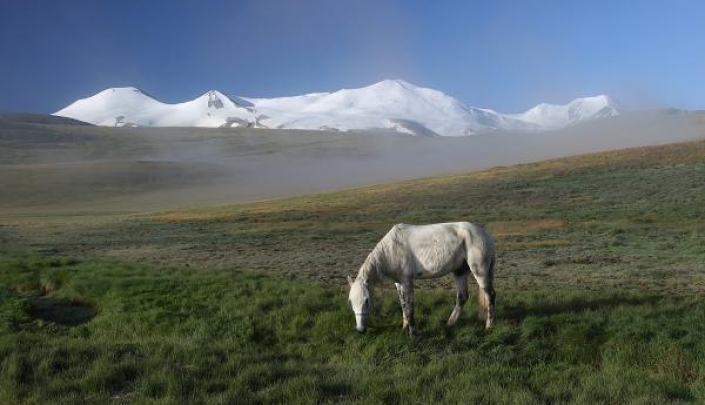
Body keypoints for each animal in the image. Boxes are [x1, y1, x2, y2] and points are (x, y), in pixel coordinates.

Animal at [348, 223, 496, 336]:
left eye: (367, 300)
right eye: (350, 302)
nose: (360, 330)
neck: (391, 249)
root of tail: (486, 235)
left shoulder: (407, 281)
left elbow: (409, 308)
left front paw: (413, 334)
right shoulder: (398, 283)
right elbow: (403, 305)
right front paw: (404, 328)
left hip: (479, 271)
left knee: (490, 295)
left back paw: (489, 327)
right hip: (460, 271)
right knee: (462, 297)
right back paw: (450, 324)